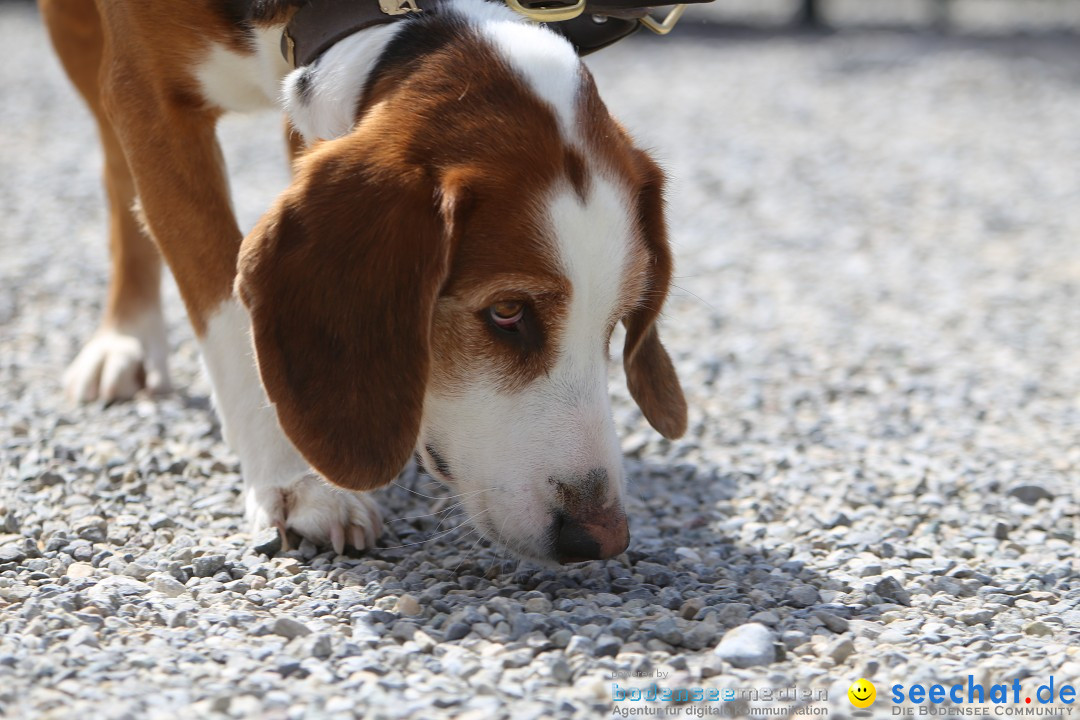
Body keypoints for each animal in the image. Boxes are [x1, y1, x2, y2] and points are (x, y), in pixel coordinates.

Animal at [42, 0, 686, 565]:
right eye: (507, 312)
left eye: (617, 320)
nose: (603, 537)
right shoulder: (147, 96)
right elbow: (225, 312)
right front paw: (295, 479)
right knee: (115, 175)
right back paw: (125, 336)